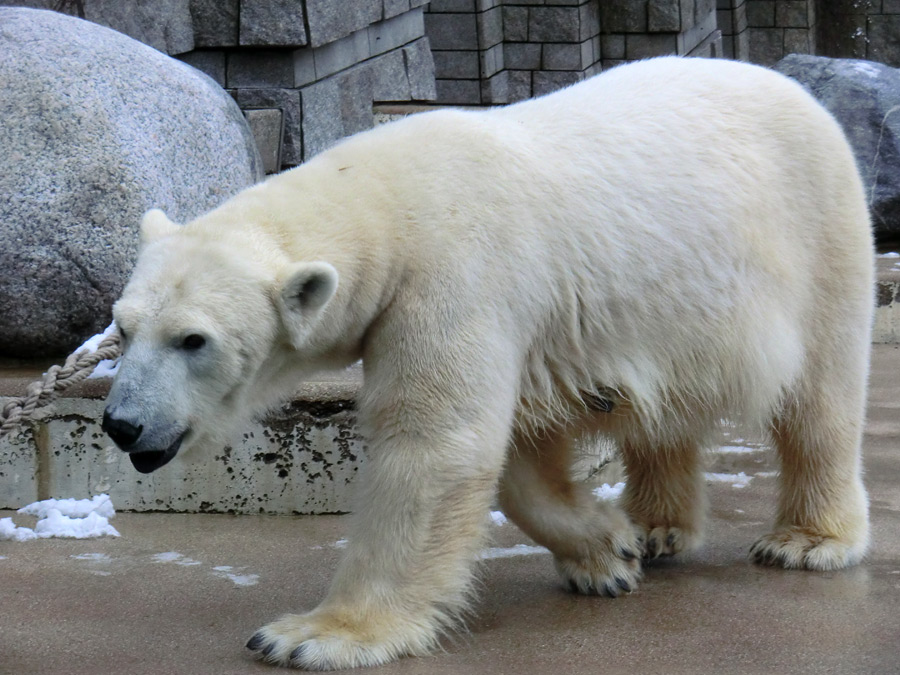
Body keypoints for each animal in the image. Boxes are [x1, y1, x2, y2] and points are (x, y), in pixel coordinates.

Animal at [103, 59, 872, 672]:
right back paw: (657, 527)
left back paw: (807, 540)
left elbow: (435, 444)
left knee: (820, 396)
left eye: (193, 340)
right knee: (668, 407)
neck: (386, 201)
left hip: (816, 232)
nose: (121, 423)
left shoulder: (456, 277)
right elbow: (516, 454)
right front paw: (607, 552)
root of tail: (796, 90)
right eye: (123, 327)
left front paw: (312, 635)